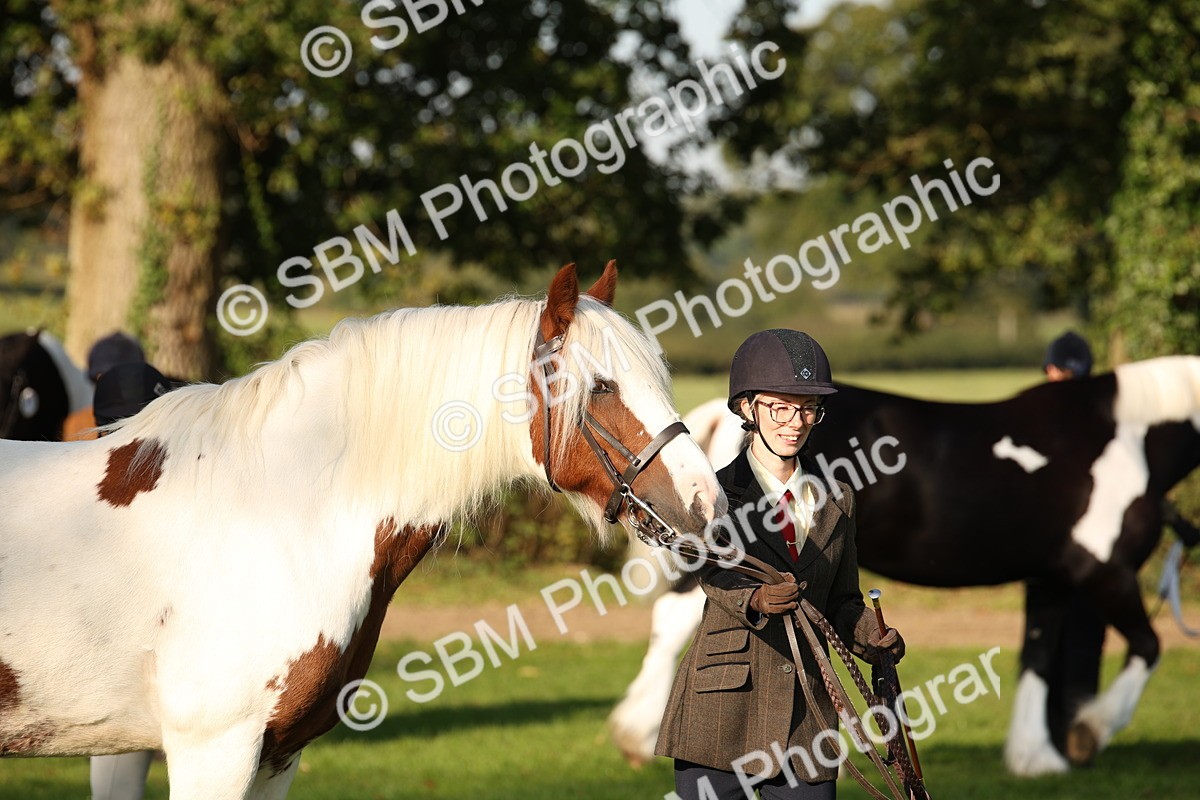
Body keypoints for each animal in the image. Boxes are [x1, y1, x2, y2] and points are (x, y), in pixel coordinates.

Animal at [608, 358, 1200, 776]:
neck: (1122, 436)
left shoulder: (1051, 579)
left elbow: (1034, 656)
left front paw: (1035, 757)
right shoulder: (1104, 573)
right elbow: (1148, 647)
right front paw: (1089, 730)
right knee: (683, 619)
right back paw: (638, 735)